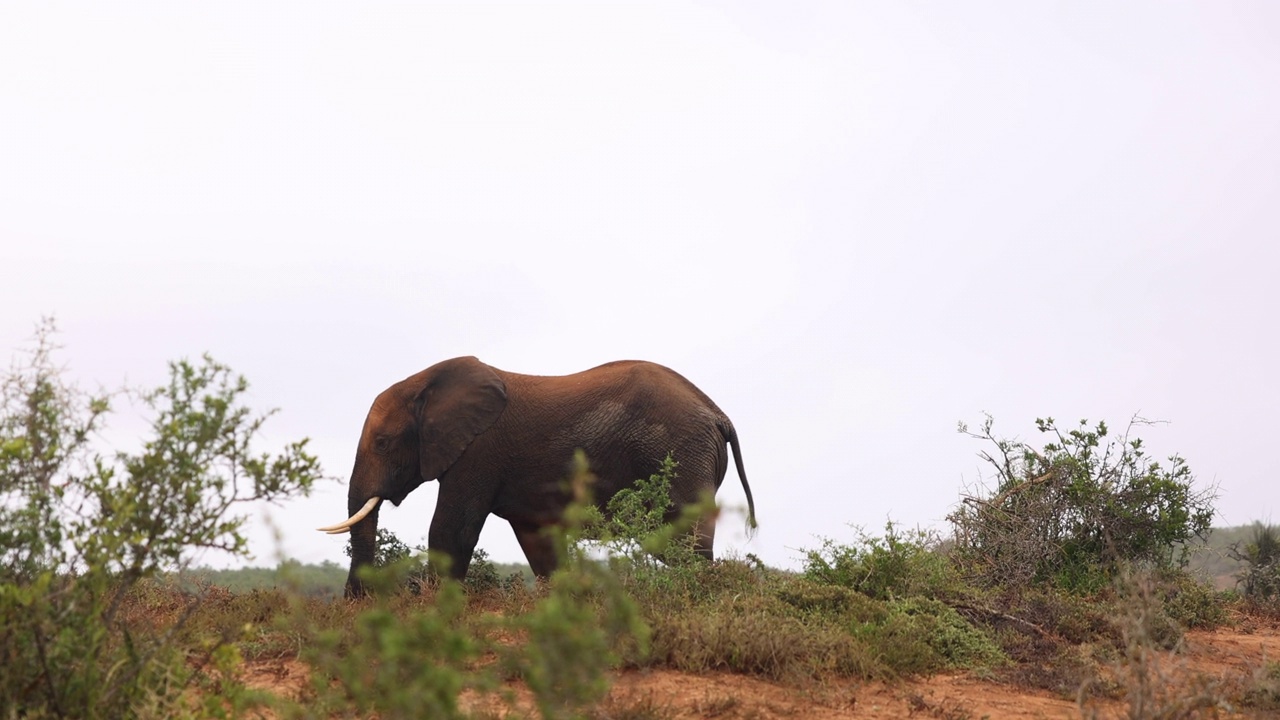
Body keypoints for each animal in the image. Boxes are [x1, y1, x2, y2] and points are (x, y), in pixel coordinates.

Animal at [320, 353, 757, 594]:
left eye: (382, 443)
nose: (356, 600)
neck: (427, 384)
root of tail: (719, 415)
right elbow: (538, 542)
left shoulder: (478, 451)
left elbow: (450, 530)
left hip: (680, 454)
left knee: (683, 545)